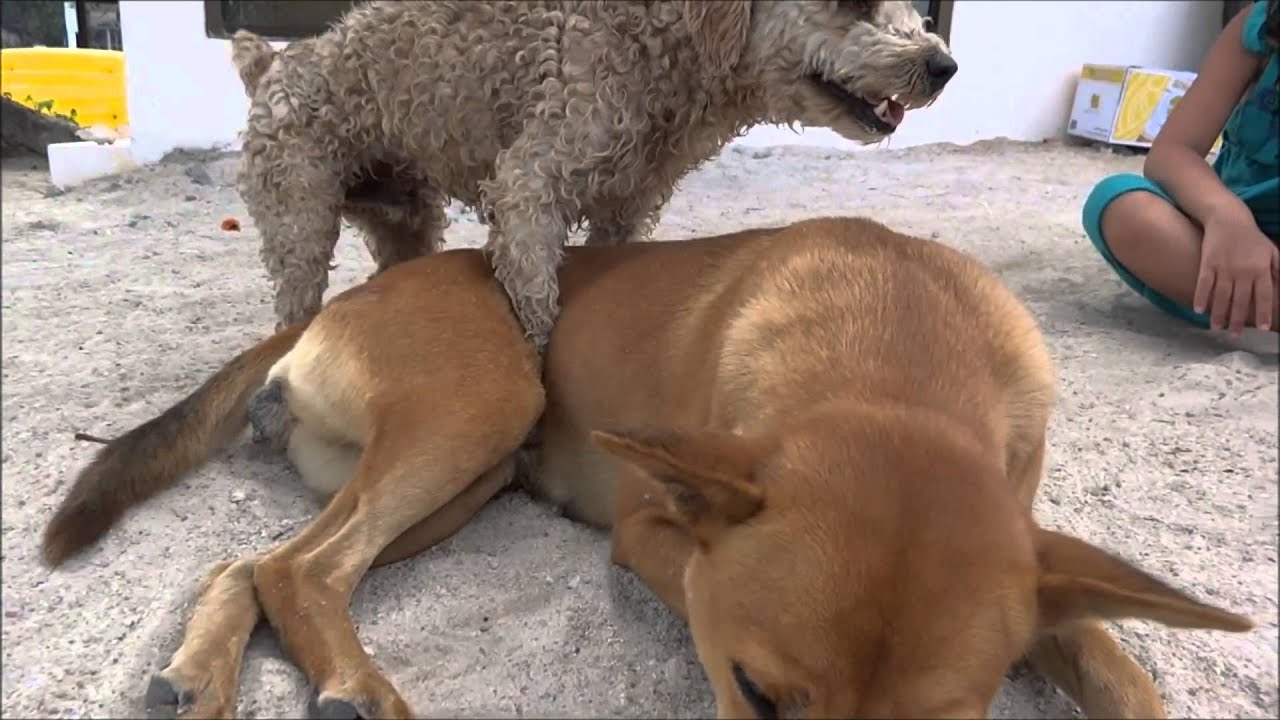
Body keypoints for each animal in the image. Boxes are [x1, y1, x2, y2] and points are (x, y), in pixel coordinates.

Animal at [42, 215, 1249, 712]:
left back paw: (199, 674)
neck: (890, 351)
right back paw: (351, 687)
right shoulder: (654, 534)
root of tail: (344, 296)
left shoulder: (1036, 562)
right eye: (756, 693)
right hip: (483, 407)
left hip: (465, 482)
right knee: (299, 569)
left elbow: (1127, 677)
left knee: (253, 564)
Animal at [230, 0, 957, 345]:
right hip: (300, 220)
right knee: (295, 300)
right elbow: (539, 312)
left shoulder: (626, 205)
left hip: (405, 217)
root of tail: (273, 65)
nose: (943, 65)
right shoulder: (527, 187)